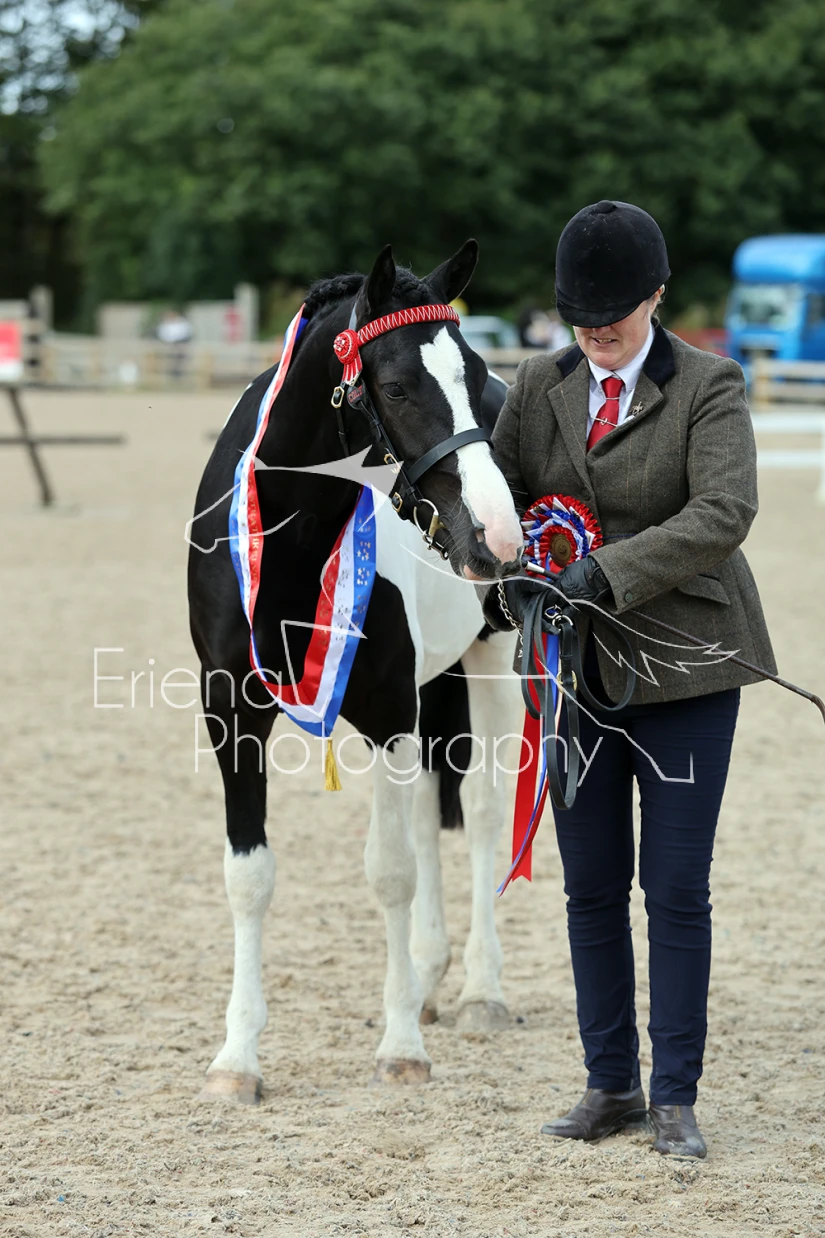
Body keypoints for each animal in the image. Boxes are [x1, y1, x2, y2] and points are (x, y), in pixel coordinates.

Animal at [187, 240, 523, 1103]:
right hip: (434, 690)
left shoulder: (385, 709)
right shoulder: (231, 711)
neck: (291, 543)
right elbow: (248, 874)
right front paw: (236, 1060)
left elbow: (390, 871)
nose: (496, 536)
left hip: (492, 661)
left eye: (473, 372)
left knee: (479, 812)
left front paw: (400, 1045)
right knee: (436, 807)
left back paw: (479, 993)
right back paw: (430, 979)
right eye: (397, 385)